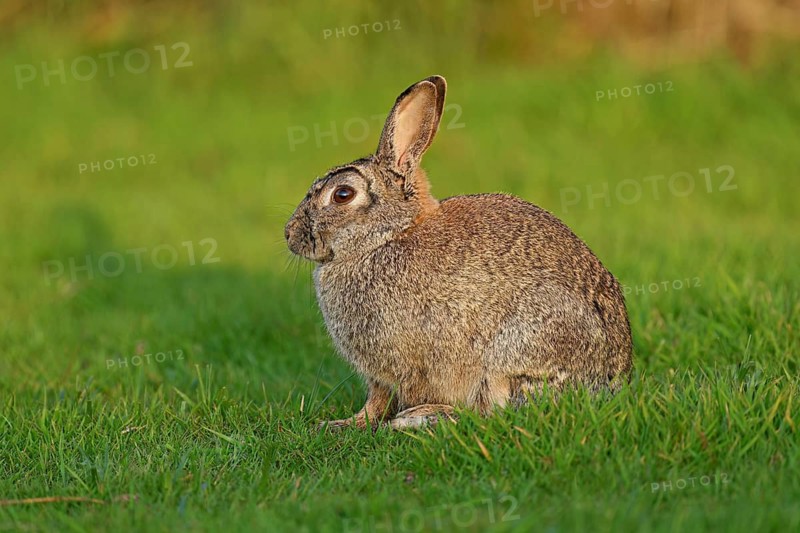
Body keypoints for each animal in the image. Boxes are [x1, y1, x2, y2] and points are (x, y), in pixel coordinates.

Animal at [285, 75, 632, 430]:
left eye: (342, 194)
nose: (290, 234)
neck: (387, 236)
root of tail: (609, 382)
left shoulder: (394, 366)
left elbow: (379, 400)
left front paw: (345, 424)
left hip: (512, 354)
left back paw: (422, 416)